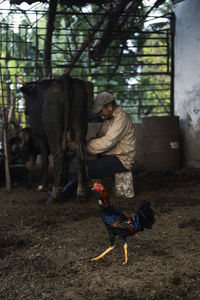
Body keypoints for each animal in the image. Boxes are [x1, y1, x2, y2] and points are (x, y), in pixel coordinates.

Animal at [19, 74, 88, 203]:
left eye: (26, 96)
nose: (25, 111)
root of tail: (65, 78)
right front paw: (63, 181)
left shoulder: (40, 138)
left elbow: (45, 161)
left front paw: (42, 185)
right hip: (80, 125)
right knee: (78, 156)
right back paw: (80, 192)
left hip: (53, 131)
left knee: (59, 156)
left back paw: (53, 196)